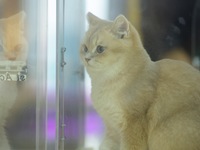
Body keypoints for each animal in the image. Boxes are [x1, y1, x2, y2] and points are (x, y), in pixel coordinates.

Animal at [79, 12, 200, 150]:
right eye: (85, 48)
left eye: (100, 49)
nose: (87, 58)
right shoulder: (112, 129)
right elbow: (105, 145)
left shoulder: (133, 124)